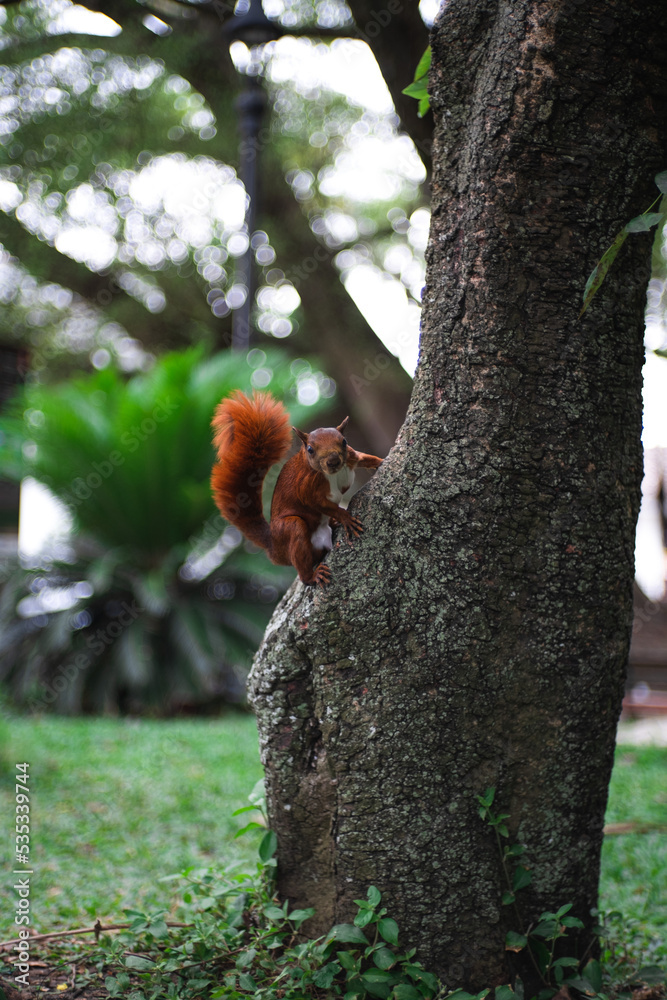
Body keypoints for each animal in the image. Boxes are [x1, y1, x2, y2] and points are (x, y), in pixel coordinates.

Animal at [210, 390, 383, 586]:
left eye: (344, 441)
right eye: (310, 449)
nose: (333, 461)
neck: (332, 474)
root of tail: (274, 546)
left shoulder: (352, 457)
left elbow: (365, 458)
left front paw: (381, 461)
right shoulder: (306, 487)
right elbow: (320, 504)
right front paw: (346, 518)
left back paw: (332, 523)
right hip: (290, 529)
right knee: (302, 563)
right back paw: (312, 575)